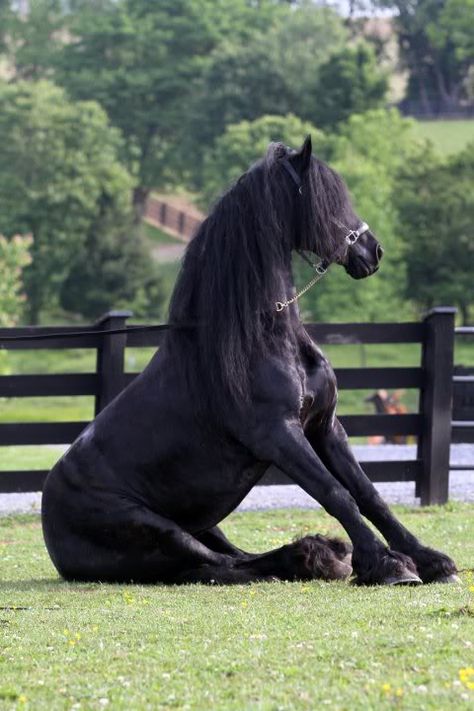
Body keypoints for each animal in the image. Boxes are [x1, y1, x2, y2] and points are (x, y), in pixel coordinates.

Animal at [42, 138, 458, 584]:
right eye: (326, 201)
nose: (373, 250)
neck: (263, 338)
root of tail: (50, 521)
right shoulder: (279, 434)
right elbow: (337, 494)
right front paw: (388, 564)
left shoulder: (325, 427)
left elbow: (368, 493)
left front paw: (430, 559)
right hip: (161, 531)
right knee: (218, 566)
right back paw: (314, 557)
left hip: (205, 524)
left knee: (233, 555)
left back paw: (320, 553)